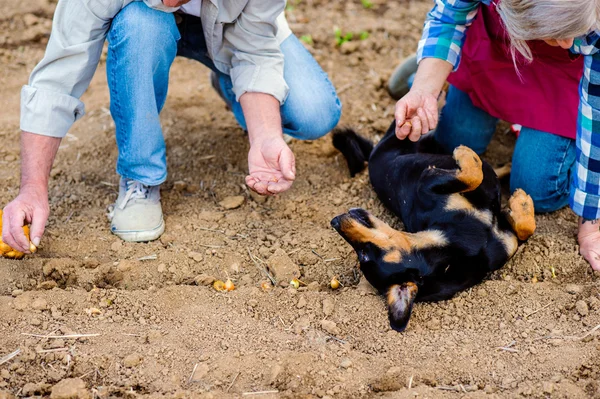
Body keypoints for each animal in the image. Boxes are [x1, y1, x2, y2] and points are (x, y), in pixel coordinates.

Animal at [332, 123, 536, 332]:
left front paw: (521, 205)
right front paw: (466, 154)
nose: (335, 221)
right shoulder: (426, 180)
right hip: (404, 138)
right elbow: (472, 175)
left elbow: (525, 229)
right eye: (363, 254)